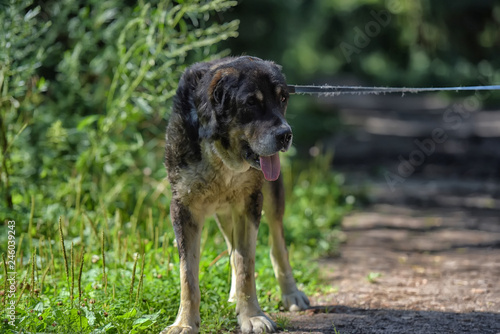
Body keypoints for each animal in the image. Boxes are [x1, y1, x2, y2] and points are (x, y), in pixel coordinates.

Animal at [162, 56, 308, 332]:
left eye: (283, 98)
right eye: (251, 102)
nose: (286, 134)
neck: (221, 156)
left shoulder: (250, 203)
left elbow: (246, 265)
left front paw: (251, 315)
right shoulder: (183, 208)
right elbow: (188, 274)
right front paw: (185, 322)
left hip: (271, 197)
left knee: (277, 245)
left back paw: (291, 292)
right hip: (224, 214)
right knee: (232, 248)